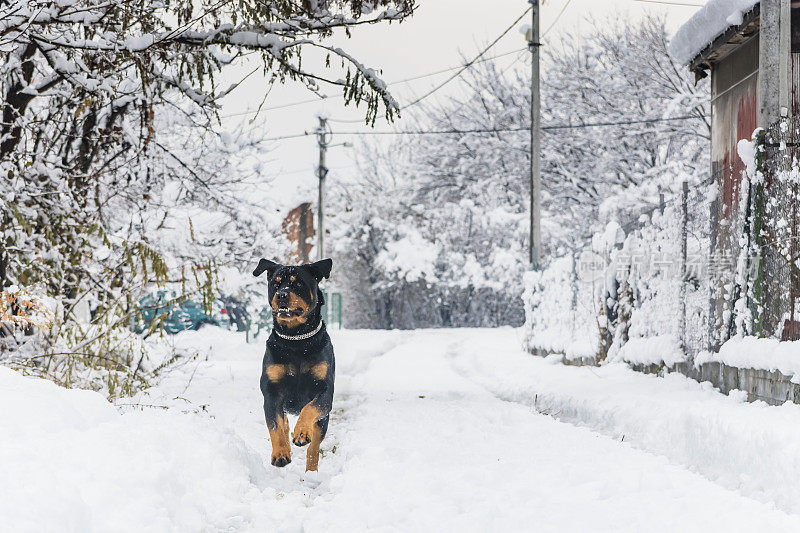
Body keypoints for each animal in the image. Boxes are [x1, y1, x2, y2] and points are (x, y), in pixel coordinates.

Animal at [253, 258, 334, 470]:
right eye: (275, 284)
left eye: (298, 284)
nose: (281, 295)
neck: (297, 341)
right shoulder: (271, 392)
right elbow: (276, 426)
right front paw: (280, 453)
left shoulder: (325, 391)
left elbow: (310, 408)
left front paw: (302, 433)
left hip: (324, 420)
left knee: (315, 445)